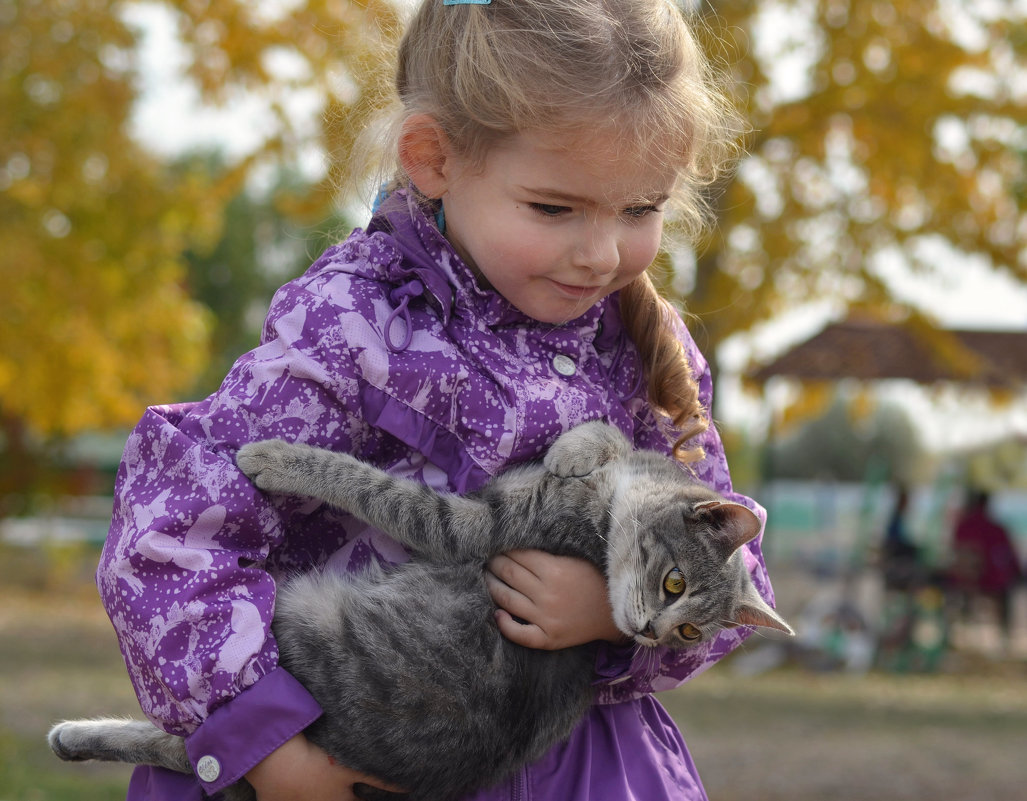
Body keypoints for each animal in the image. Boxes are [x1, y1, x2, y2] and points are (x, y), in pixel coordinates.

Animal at [48, 423, 788, 796]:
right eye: (674, 586)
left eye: (688, 630)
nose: (649, 633)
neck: (601, 516)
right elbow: (607, 429)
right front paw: (576, 445)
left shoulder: (476, 526)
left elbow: (379, 490)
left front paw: (278, 457)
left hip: (303, 617)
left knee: (196, 746)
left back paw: (78, 736)